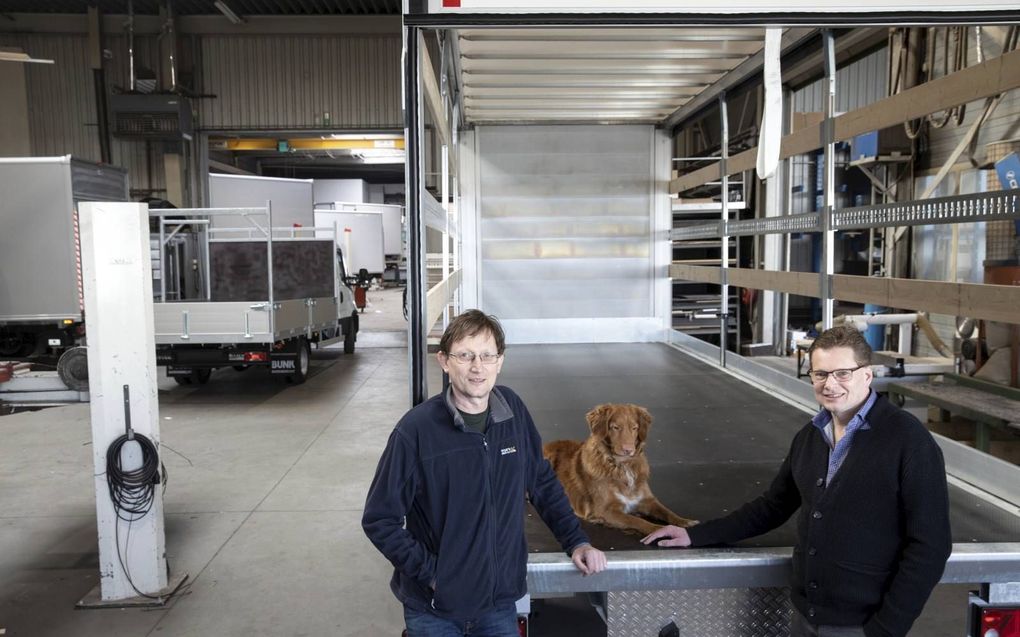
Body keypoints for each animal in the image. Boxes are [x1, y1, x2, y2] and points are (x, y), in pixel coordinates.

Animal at [542, 405, 701, 534]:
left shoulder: (648, 500)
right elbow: (636, 520)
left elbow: (666, 511)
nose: (628, 450)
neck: (622, 466)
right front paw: (659, 529)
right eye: (615, 427)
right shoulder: (607, 510)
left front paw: (684, 521)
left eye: (634, 428)